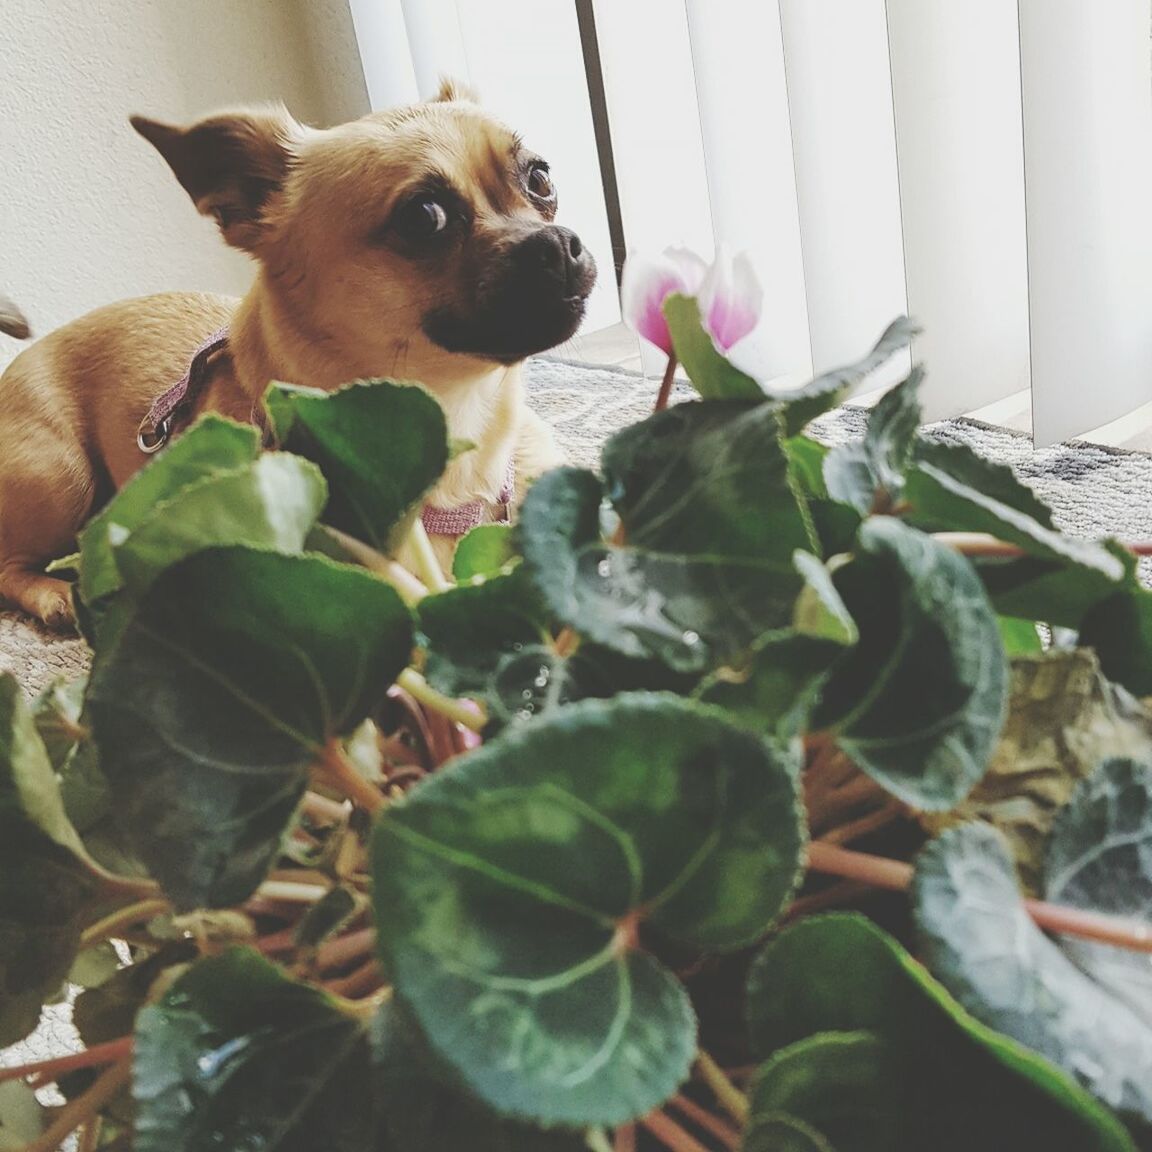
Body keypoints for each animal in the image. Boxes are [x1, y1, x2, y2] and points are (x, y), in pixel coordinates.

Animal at [0, 81, 594, 631]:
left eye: (540, 179)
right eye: (425, 217)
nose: (559, 244)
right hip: (62, 474)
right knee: (11, 563)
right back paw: (53, 595)